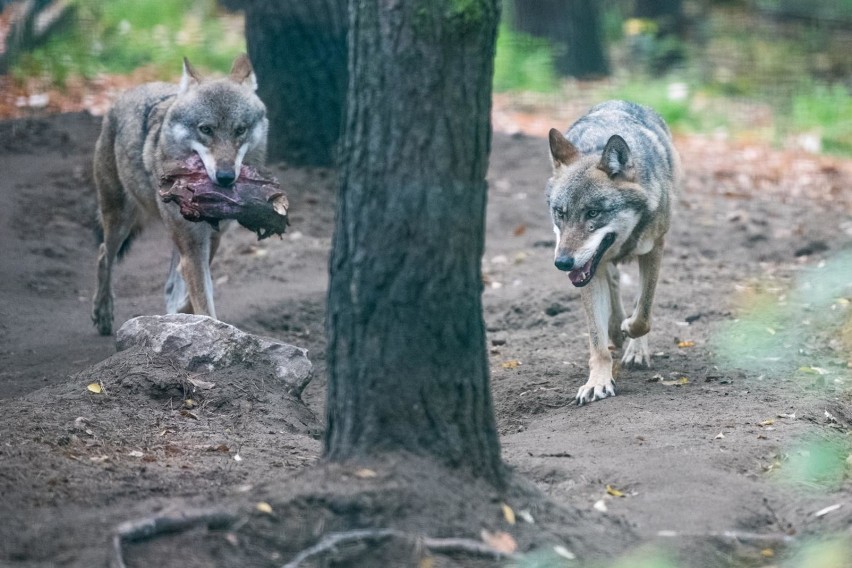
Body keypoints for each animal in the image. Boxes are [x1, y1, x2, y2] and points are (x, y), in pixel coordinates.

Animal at [91, 53, 268, 336]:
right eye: (205, 129)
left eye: (240, 130)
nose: (226, 176)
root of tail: (130, 90)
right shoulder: (194, 246)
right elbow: (202, 300)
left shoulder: (212, 238)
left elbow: (189, 293)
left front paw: (182, 319)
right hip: (120, 221)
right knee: (103, 255)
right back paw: (103, 312)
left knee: (167, 280)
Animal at [544, 100, 680, 406]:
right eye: (561, 213)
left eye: (593, 213)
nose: (562, 263)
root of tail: (619, 101)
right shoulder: (587, 272)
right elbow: (596, 341)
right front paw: (598, 382)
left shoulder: (655, 249)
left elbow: (643, 313)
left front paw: (632, 333)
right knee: (614, 284)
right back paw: (616, 331)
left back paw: (633, 346)